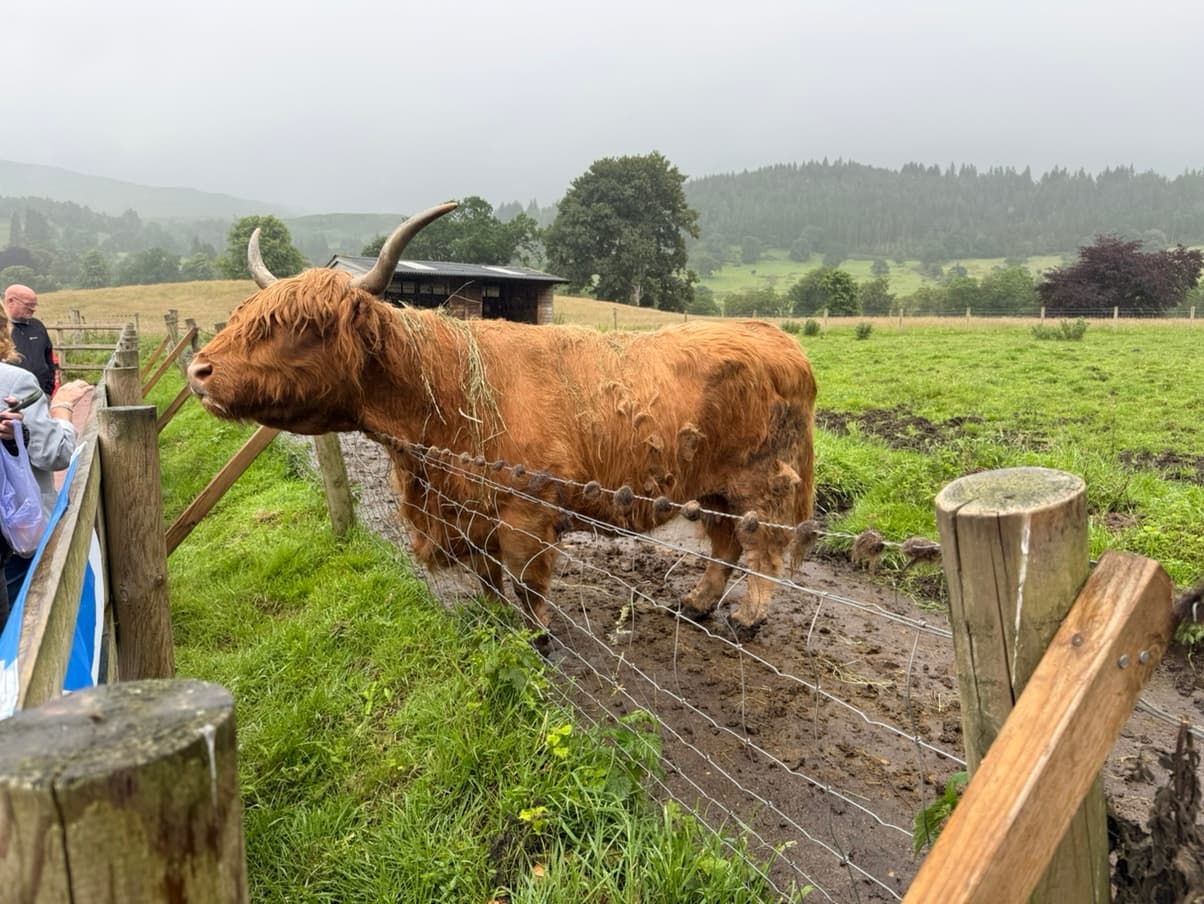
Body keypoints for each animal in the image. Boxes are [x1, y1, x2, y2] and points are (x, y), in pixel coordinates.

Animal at [187, 203, 817, 641]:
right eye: (246, 316)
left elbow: (527, 582)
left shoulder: (527, 514)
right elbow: (490, 579)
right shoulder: (472, 514)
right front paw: (495, 623)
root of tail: (775, 336)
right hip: (711, 484)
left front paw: (536, 638)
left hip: (761, 480)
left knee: (763, 546)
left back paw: (746, 618)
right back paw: (697, 603)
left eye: (303, 325)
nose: (198, 370)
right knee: (725, 544)